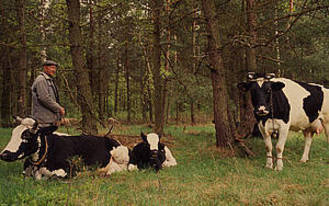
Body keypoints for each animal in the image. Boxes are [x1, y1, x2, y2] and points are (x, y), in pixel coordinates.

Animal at [0, 116, 130, 179]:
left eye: (26, 135)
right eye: (13, 133)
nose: (4, 154)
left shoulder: (69, 170)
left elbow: (51, 177)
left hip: (120, 154)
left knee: (125, 167)